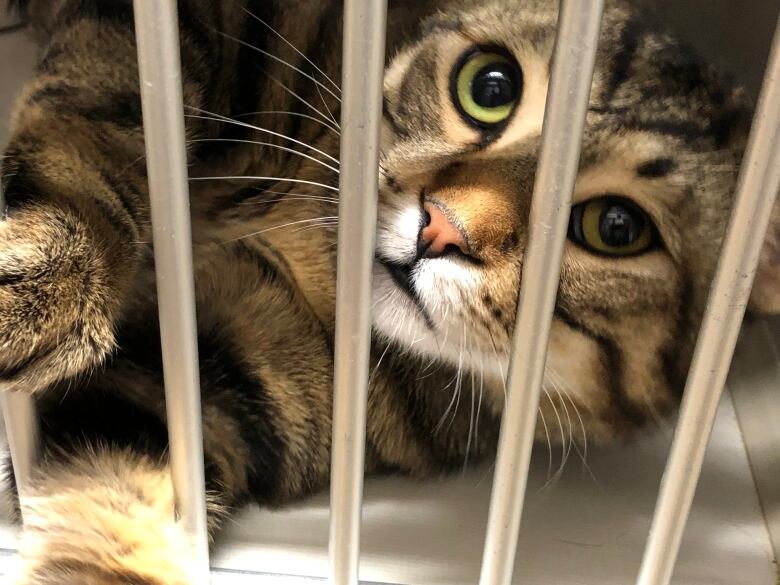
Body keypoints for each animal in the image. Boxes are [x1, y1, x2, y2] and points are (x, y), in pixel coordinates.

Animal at [1, 0, 780, 580]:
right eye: (490, 87)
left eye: (616, 226)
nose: (441, 227)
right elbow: (96, 123)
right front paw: (43, 278)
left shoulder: (209, 380)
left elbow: (107, 527)